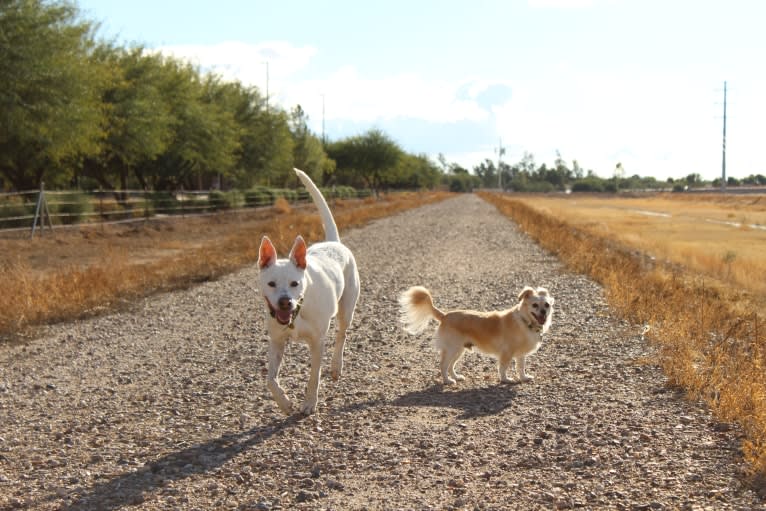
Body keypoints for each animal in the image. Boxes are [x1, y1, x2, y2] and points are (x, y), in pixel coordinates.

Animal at [258, 168, 360, 416]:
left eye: (295, 283)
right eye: (271, 284)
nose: (285, 302)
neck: (297, 313)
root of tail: (334, 242)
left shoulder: (317, 342)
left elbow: (314, 376)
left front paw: (309, 403)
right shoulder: (277, 341)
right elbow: (270, 380)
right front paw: (284, 403)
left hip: (347, 309)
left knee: (342, 335)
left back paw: (336, 366)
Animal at [400, 286, 556, 386]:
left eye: (547, 305)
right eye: (535, 305)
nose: (543, 312)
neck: (525, 322)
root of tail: (444, 316)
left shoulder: (521, 354)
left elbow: (521, 367)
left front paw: (524, 377)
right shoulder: (506, 353)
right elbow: (503, 368)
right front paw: (506, 380)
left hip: (459, 350)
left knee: (451, 366)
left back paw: (456, 377)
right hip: (452, 349)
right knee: (443, 365)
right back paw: (447, 381)